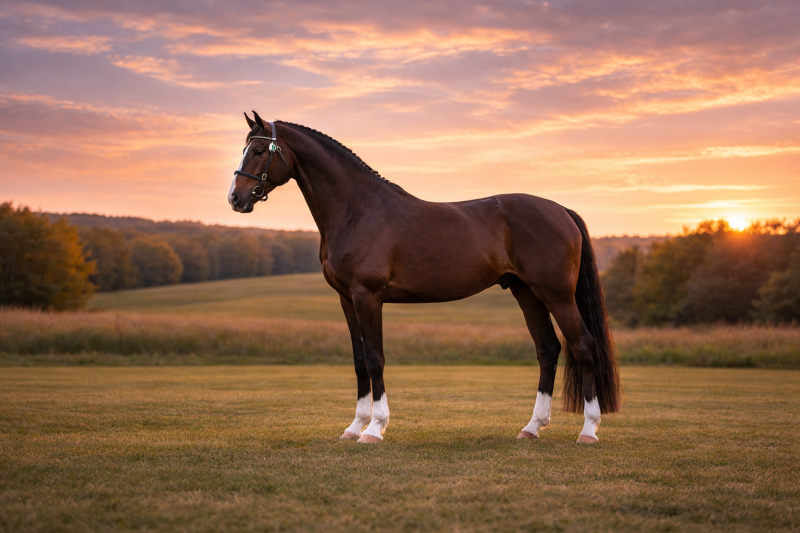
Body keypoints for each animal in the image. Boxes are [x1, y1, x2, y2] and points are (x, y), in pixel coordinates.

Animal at [228, 111, 621, 444]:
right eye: (244, 148)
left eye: (259, 150)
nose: (235, 198)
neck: (358, 210)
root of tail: (561, 211)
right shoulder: (346, 298)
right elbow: (359, 360)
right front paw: (354, 427)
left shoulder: (368, 296)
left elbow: (375, 358)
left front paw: (375, 428)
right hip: (527, 293)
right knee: (548, 349)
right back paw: (532, 427)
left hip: (557, 296)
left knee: (584, 346)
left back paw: (588, 430)